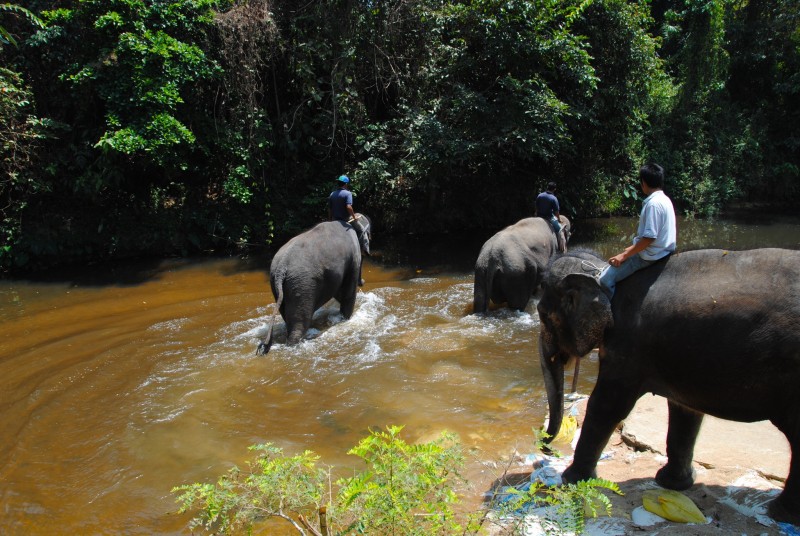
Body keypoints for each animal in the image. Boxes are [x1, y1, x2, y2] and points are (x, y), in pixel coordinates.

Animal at [256, 214, 372, 356]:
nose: (364, 281)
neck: (350, 221)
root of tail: (281, 268)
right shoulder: (353, 259)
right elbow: (348, 294)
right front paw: (346, 319)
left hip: (280, 286)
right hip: (302, 285)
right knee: (299, 326)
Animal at [536, 248, 800, 524]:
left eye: (543, 315)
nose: (545, 448)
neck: (604, 278)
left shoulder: (628, 346)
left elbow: (607, 405)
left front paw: (571, 479)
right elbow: (684, 412)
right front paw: (672, 484)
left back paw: (779, 513)